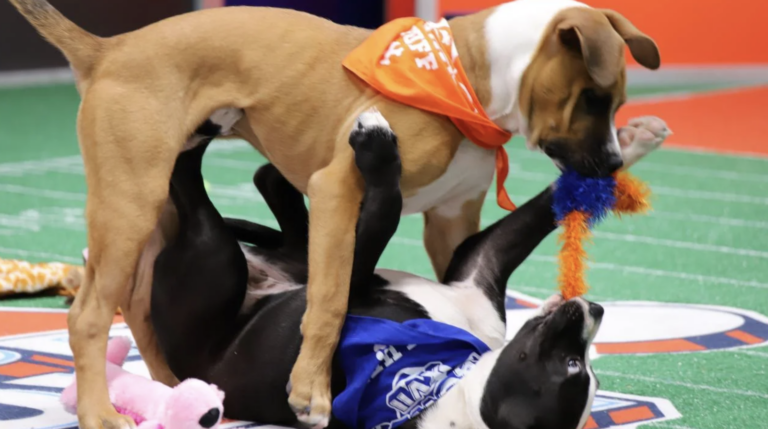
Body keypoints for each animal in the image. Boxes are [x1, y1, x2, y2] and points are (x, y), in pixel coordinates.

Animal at [147, 108, 668, 426]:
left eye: (576, 365)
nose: (594, 309)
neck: (440, 384)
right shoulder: (482, 261)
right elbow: (545, 206)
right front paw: (627, 143)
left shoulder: (332, 306)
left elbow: (384, 213)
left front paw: (377, 150)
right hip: (280, 256)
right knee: (286, 212)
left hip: (213, 259)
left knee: (189, 185)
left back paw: (211, 127)